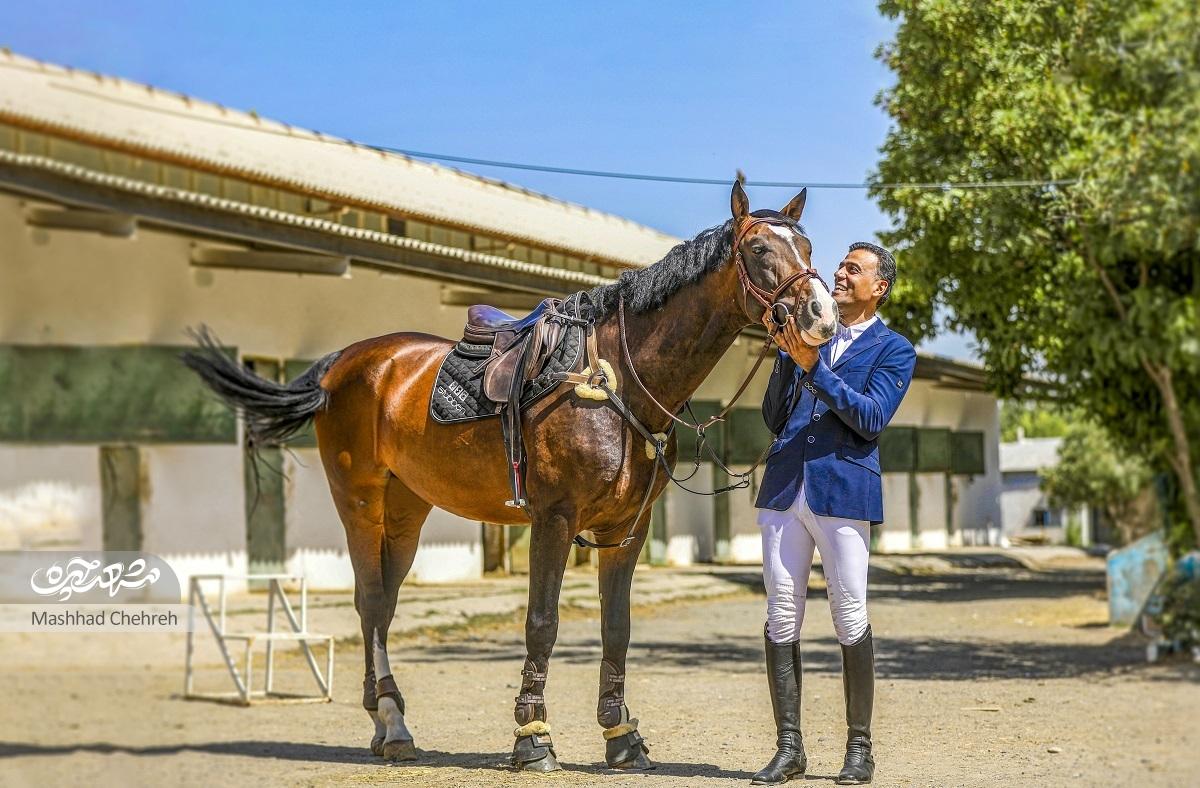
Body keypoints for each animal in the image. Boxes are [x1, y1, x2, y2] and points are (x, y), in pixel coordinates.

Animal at [184, 181, 835, 772]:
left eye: (806, 245)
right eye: (759, 249)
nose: (820, 316)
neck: (617, 380)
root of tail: (345, 363)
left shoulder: (627, 528)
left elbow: (617, 626)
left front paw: (621, 735)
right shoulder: (554, 519)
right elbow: (542, 624)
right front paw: (533, 736)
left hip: (406, 509)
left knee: (384, 603)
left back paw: (389, 723)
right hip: (360, 501)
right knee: (369, 601)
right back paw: (392, 721)